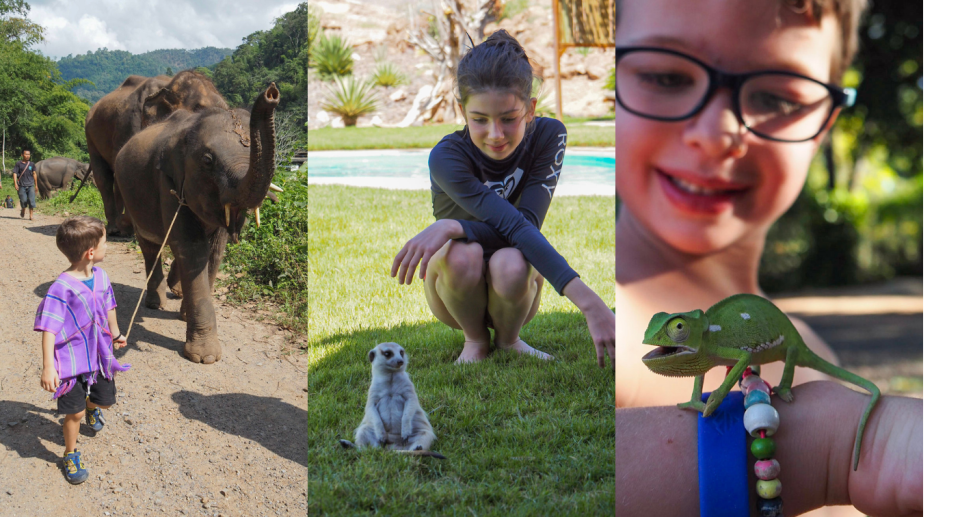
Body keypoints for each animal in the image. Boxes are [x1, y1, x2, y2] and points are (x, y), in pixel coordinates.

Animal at [86, 70, 229, 236]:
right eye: (200, 110)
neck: (169, 86)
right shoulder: (128, 125)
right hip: (90, 135)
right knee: (103, 177)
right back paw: (115, 229)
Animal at [115, 83, 282, 362]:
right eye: (207, 161)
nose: (271, 93)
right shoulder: (168, 182)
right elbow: (192, 248)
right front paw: (205, 358)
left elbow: (215, 250)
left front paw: (184, 317)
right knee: (150, 245)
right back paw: (156, 303)